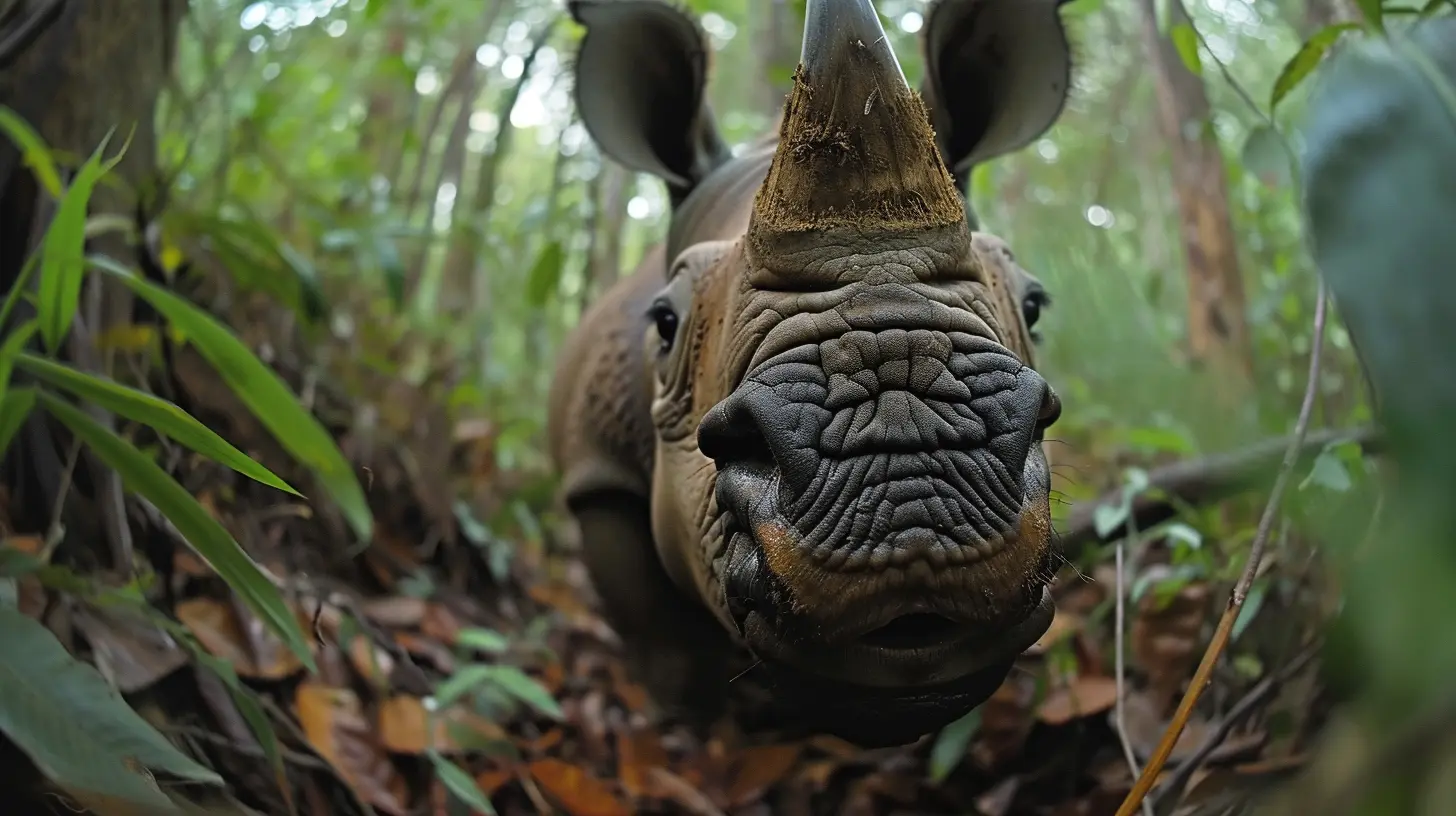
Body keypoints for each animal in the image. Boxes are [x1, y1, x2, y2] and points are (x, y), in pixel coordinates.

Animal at [547, 0, 1073, 747]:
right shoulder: (600, 473)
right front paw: (690, 728)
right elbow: (661, 636)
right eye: (664, 323)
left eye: (1033, 304)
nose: (910, 471)